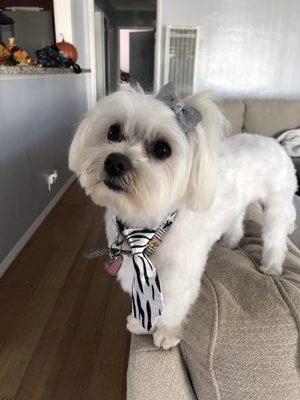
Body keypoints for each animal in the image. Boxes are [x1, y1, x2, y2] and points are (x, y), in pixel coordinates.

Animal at [69, 84, 296, 350]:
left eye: (162, 149)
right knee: (237, 220)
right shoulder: (132, 263)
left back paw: (272, 266)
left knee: (275, 240)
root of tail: (275, 143)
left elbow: (174, 303)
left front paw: (166, 331)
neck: (147, 224)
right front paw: (141, 322)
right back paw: (231, 241)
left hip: (276, 207)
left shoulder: (180, 273)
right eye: (113, 131)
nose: (115, 161)